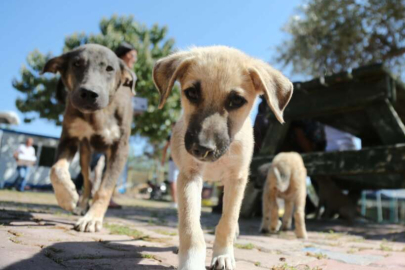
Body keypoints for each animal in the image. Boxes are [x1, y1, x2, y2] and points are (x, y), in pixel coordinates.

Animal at [41, 43, 136, 232]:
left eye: (109, 68)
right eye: (77, 64)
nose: (90, 93)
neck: (98, 114)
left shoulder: (120, 148)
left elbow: (105, 189)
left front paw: (92, 218)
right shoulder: (69, 138)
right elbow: (56, 169)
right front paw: (67, 197)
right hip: (85, 154)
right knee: (88, 181)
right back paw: (81, 205)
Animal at [153, 46, 292, 270]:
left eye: (237, 101)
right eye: (191, 93)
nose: (202, 149)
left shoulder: (237, 178)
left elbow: (228, 220)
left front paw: (223, 255)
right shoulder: (189, 176)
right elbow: (190, 224)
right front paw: (191, 260)